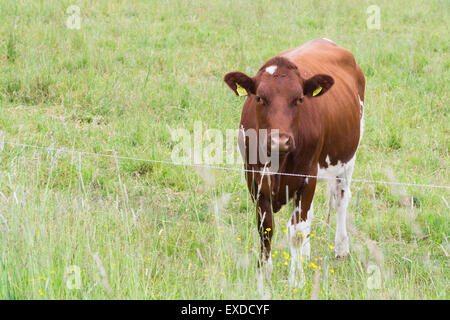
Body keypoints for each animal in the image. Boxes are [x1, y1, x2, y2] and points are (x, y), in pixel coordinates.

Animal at [223, 37, 364, 288]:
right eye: (259, 97)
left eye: (299, 99)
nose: (280, 139)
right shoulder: (253, 178)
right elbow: (266, 228)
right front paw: (263, 273)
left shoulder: (307, 176)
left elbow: (296, 230)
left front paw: (296, 279)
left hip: (348, 158)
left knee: (341, 200)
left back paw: (340, 247)